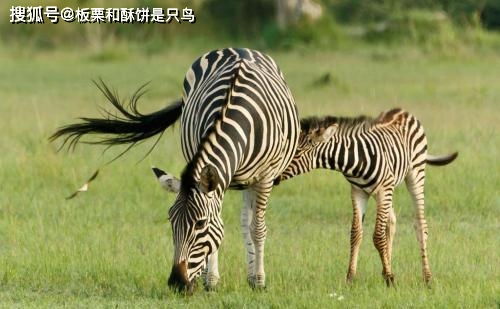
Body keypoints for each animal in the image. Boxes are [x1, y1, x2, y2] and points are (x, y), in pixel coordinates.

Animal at [49, 48, 300, 292]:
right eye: (170, 220)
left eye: (200, 224)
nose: (177, 283)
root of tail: (238, 49)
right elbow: (219, 225)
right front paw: (211, 282)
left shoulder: (266, 176)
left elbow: (256, 228)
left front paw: (259, 281)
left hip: (252, 180)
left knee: (248, 223)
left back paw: (252, 277)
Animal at [276, 107, 458, 286]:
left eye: (297, 153)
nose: (275, 178)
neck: (355, 161)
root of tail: (402, 110)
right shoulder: (358, 191)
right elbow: (356, 234)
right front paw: (351, 278)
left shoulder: (383, 189)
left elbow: (377, 236)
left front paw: (390, 279)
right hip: (385, 190)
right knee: (391, 222)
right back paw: (386, 269)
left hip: (414, 174)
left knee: (420, 224)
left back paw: (427, 278)